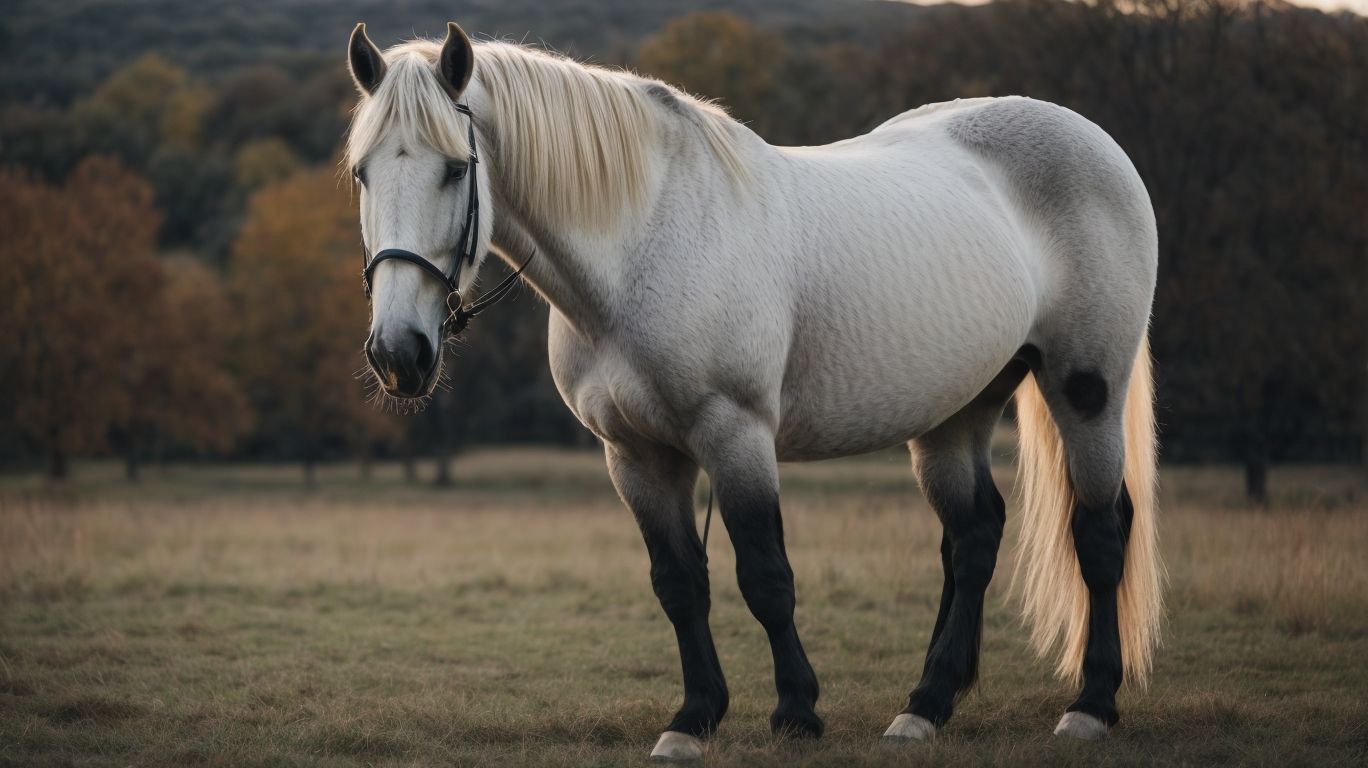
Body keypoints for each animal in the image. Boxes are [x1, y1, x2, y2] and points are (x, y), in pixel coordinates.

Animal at [343, 21, 1163, 760]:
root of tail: (1093, 141)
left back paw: (1090, 706)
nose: (399, 353)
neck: (645, 242)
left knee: (1099, 531)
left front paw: (796, 712)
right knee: (975, 538)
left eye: (456, 170)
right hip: (958, 411)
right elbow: (679, 582)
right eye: (362, 173)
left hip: (1087, 388)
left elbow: (765, 576)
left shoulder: (733, 433)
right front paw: (694, 717)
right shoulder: (635, 456)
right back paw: (926, 706)